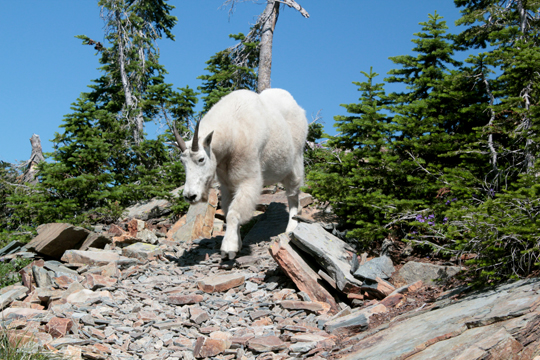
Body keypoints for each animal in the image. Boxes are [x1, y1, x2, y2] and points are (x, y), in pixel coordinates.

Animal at [172, 89, 308, 260]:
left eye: (201, 159)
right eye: (182, 162)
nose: (190, 196)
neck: (234, 131)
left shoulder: (247, 180)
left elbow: (234, 212)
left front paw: (228, 248)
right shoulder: (227, 184)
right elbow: (228, 209)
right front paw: (237, 244)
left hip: (296, 161)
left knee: (293, 194)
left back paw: (291, 227)